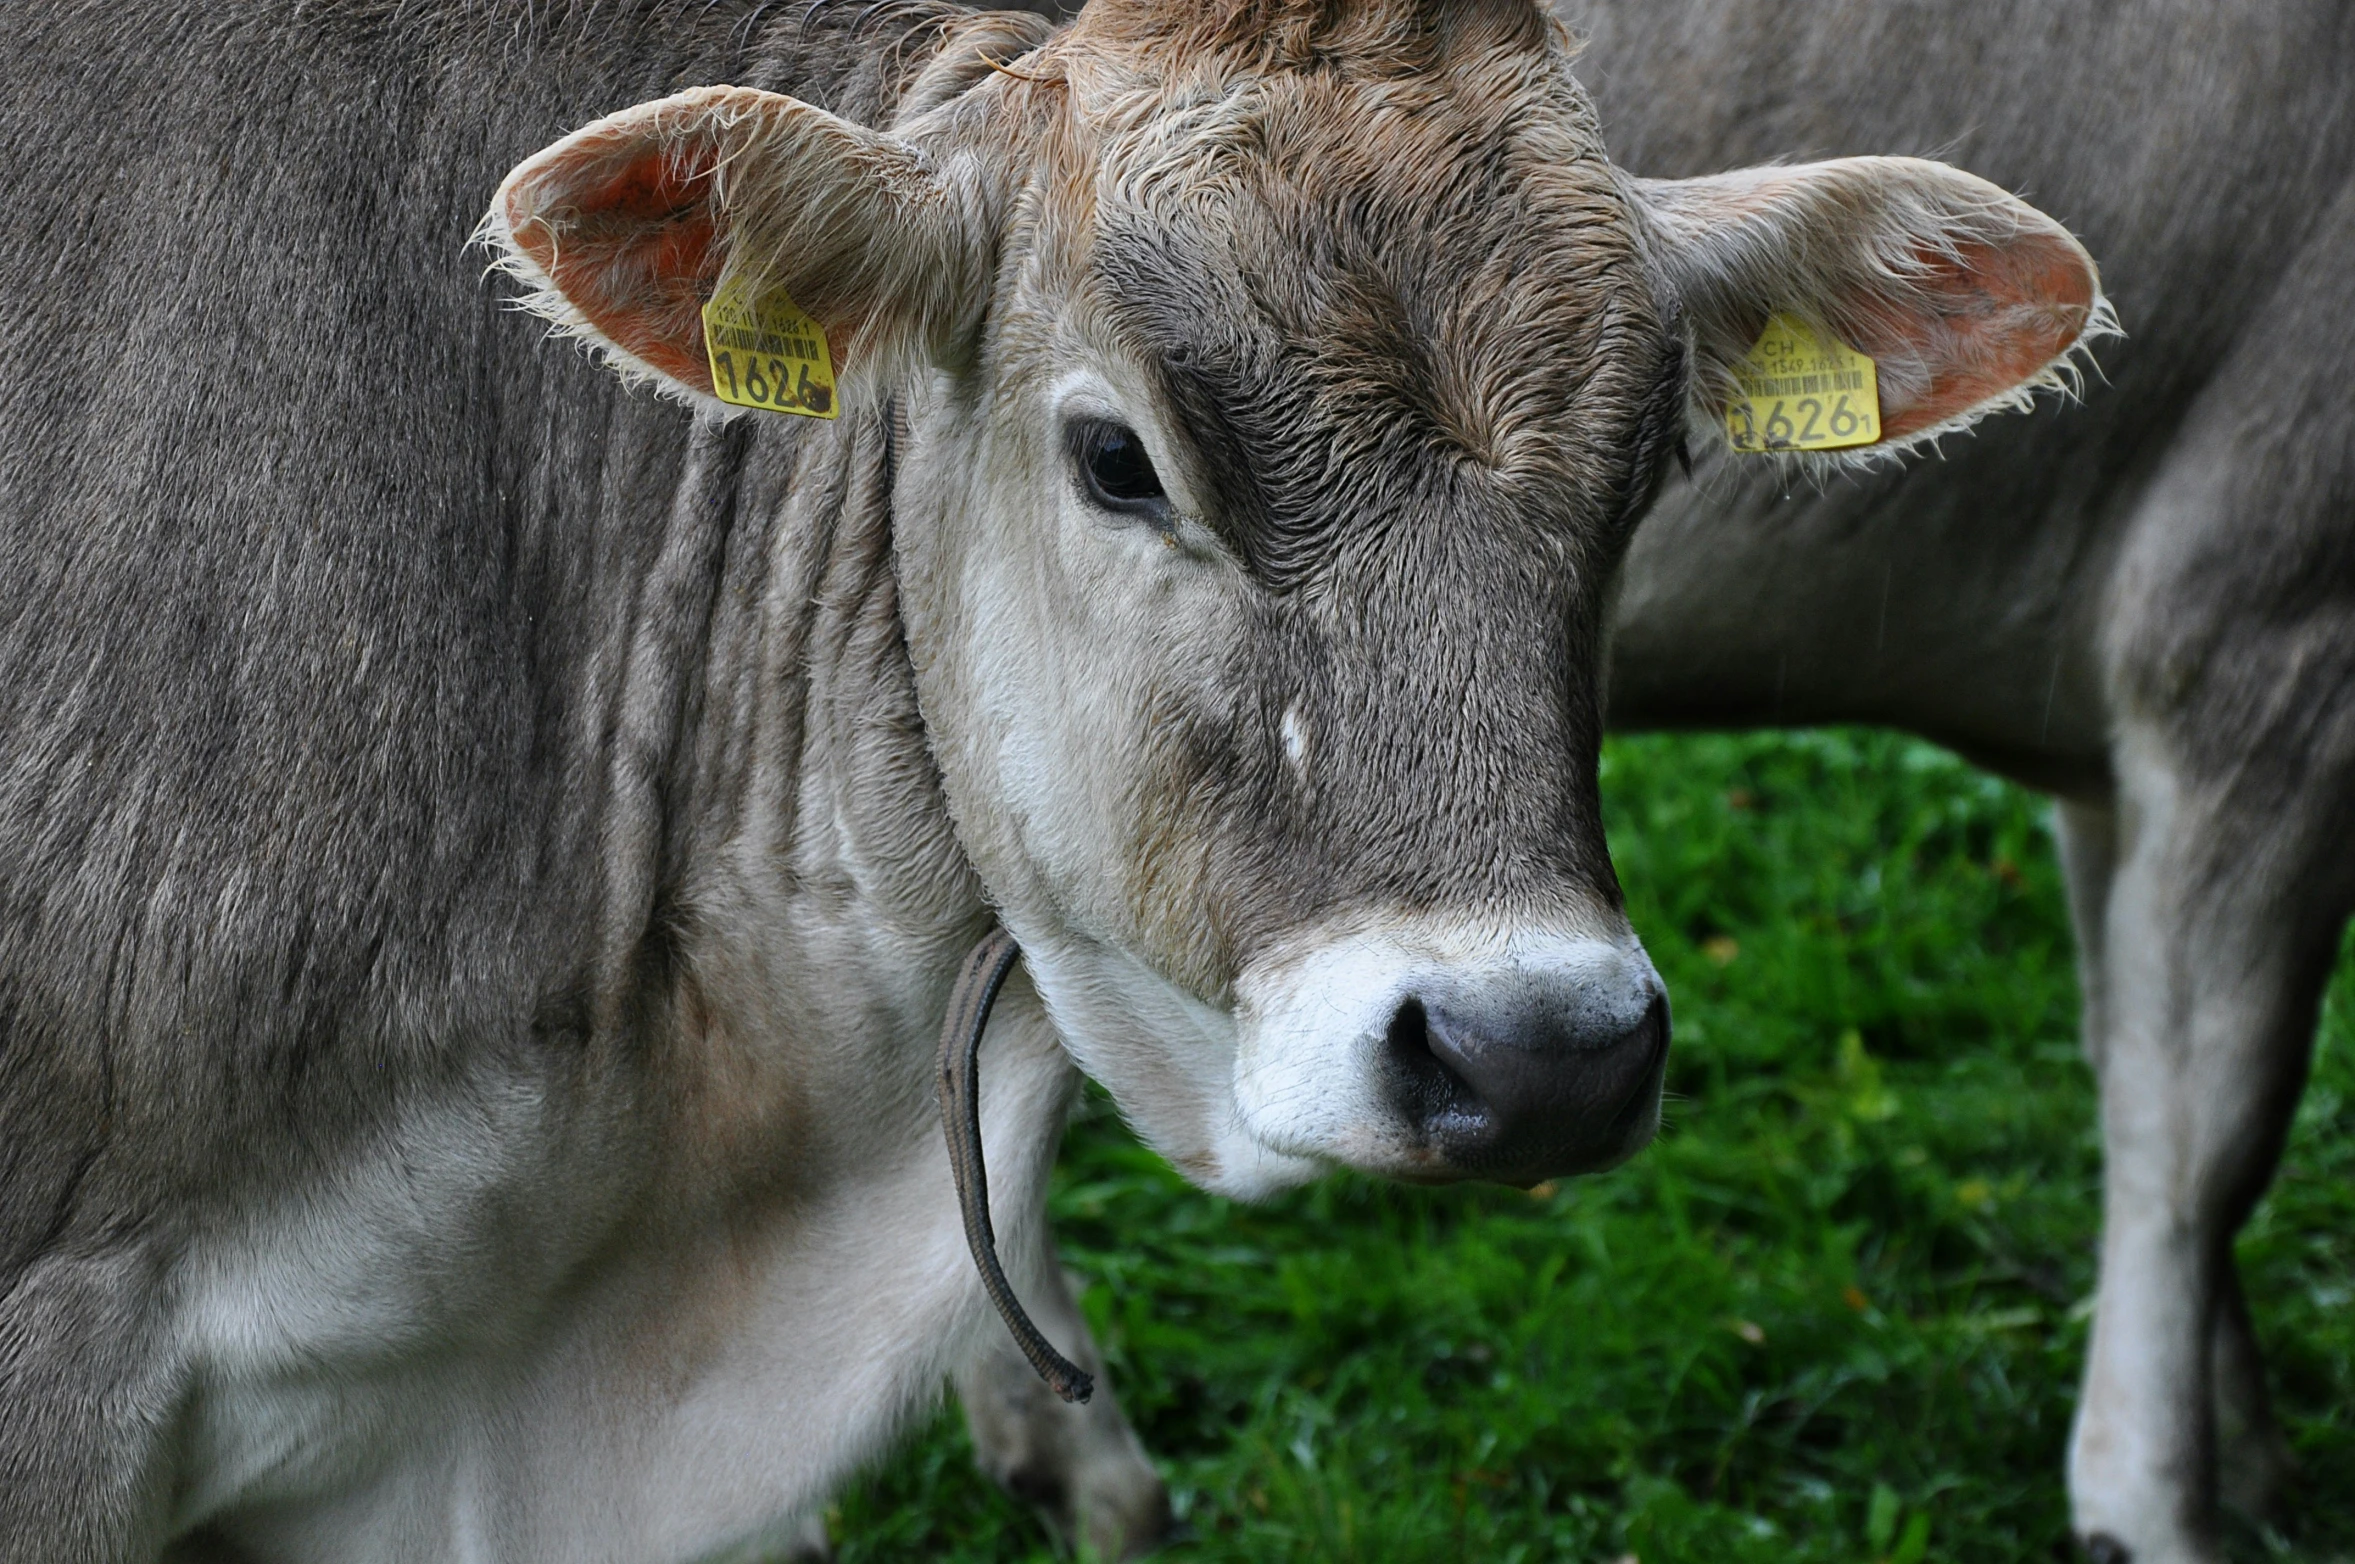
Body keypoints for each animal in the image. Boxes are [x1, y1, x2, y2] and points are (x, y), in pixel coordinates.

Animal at [965, 3, 2355, 1564]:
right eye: (1123, 458)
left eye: (1650, 473)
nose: (1546, 1061)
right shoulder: (2258, 630)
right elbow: (2201, 1134)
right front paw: (2160, 1502)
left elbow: (2132, 1055)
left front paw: (2248, 1453)